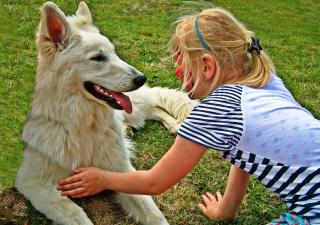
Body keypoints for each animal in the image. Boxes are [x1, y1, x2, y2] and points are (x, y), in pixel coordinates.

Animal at [16, 2, 199, 225]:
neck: (82, 124)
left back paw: (173, 125)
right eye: (98, 57)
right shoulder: (35, 183)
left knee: (153, 103)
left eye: (114, 53)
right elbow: (76, 214)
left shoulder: (122, 171)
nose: (142, 78)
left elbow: (154, 214)